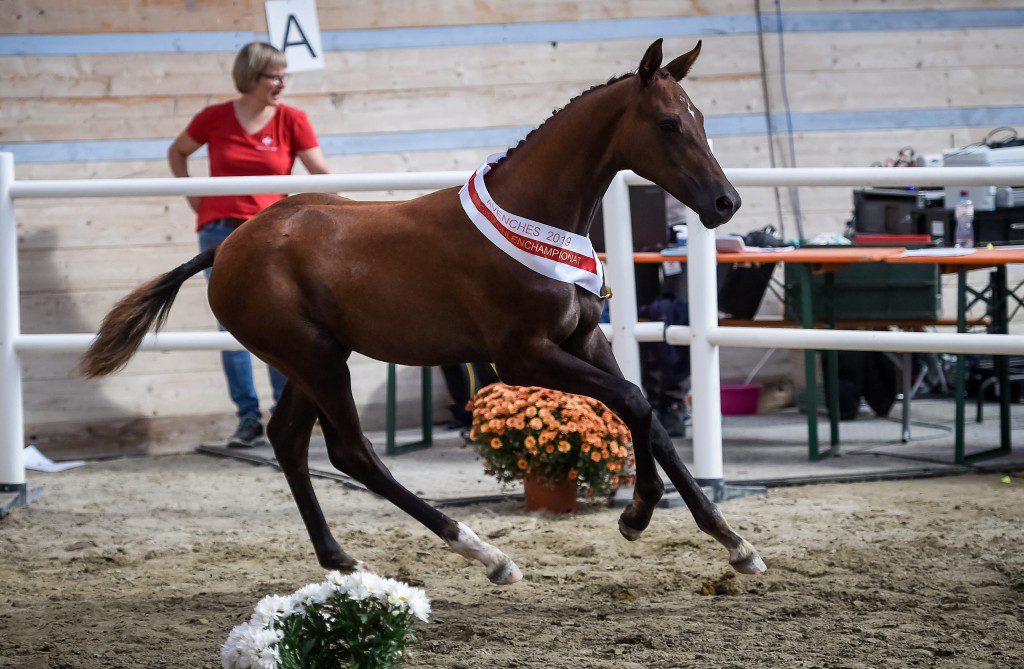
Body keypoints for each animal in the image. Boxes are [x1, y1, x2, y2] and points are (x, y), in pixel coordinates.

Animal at [81, 40, 761, 586]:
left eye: (700, 118)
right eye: (669, 123)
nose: (726, 203)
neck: (533, 215)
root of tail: (226, 248)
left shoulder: (586, 339)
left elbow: (650, 419)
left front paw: (734, 544)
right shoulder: (522, 356)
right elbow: (637, 403)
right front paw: (637, 513)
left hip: (311, 361)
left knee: (290, 441)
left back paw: (340, 558)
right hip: (315, 360)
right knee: (351, 452)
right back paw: (487, 555)